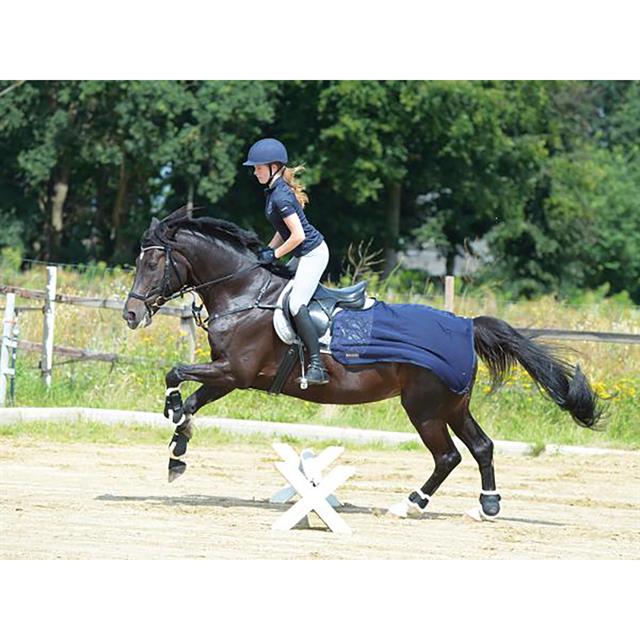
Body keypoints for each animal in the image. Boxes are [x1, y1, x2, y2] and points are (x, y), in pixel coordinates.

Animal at [124, 208, 600, 524]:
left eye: (153, 262)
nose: (131, 314)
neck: (244, 292)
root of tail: (466, 325)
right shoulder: (228, 375)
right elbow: (192, 402)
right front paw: (178, 452)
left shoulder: (234, 371)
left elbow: (174, 375)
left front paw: (173, 420)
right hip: (451, 405)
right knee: (481, 446)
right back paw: (488, 505)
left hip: (424, 408)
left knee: (447, 456)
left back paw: (409, 504)